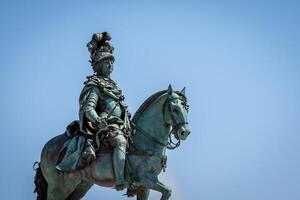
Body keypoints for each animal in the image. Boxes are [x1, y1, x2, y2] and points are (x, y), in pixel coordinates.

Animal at [34, 85, 190, 199]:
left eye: (186, 108)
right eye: (175, 109)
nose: (185, 132)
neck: (146, 141)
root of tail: (47, 147)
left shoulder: (144, 187)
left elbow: (166, 191)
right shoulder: (146, 179)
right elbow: (168, 190)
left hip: (80, 187)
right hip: (59, 189)